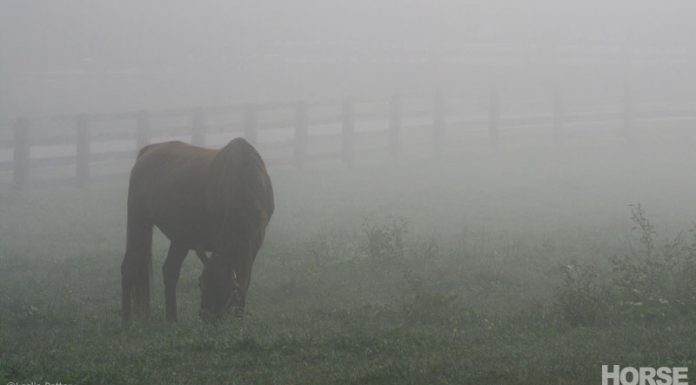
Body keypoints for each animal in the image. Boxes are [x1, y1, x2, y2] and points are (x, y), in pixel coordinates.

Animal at [121, 136, 274, 322]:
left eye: (226, 290)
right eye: (201, 283)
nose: (205, 317)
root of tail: (147, 152)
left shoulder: (253, 244)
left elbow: (245, 278)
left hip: (180, 238)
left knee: (169, 271)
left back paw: (172, 319)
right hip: (139, 223)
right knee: (129, 267)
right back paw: (126, 321)